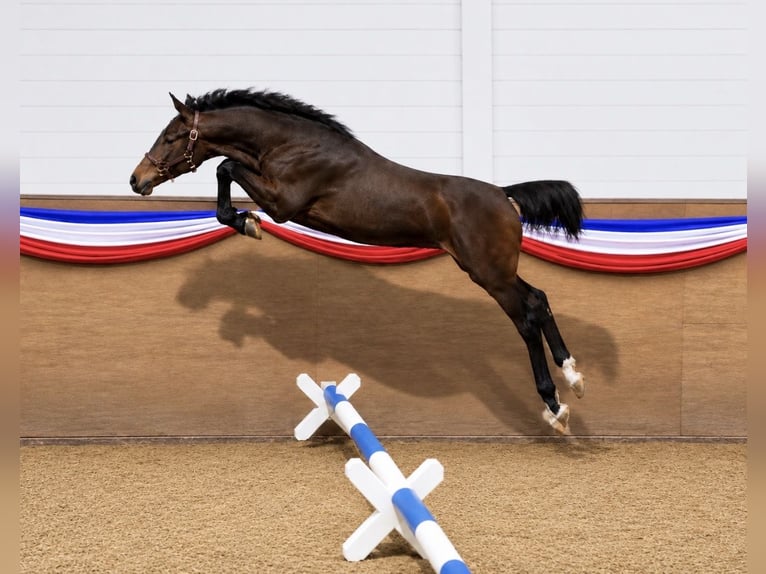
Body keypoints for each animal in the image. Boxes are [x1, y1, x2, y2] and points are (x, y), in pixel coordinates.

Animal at [130, 89, 586, 434]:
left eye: (171, 136)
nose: (137, 180)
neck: (293, 146)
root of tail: (505, 196)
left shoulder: (283, 203)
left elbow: (226, 167)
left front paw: (248, 224)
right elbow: (227, 170)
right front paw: (245, 223)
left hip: (489, 274)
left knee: (526, 318)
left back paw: (555, 407)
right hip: (497, 271)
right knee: (539, 299)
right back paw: (574, 377)